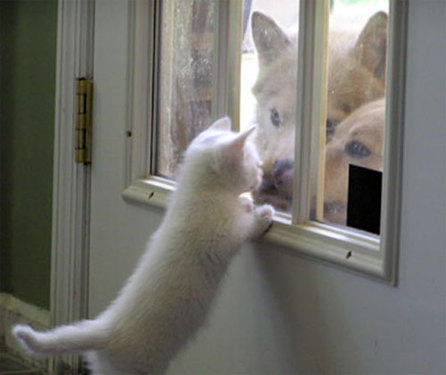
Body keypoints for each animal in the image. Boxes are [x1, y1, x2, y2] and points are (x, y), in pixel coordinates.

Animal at [11, 117, 276, 375]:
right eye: (254, 163)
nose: (261, 175)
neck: (196, 193)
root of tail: (106, 329)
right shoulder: (222, 233)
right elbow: (245, 227)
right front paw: (261, 215)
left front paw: (247, 204)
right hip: (140, 366)